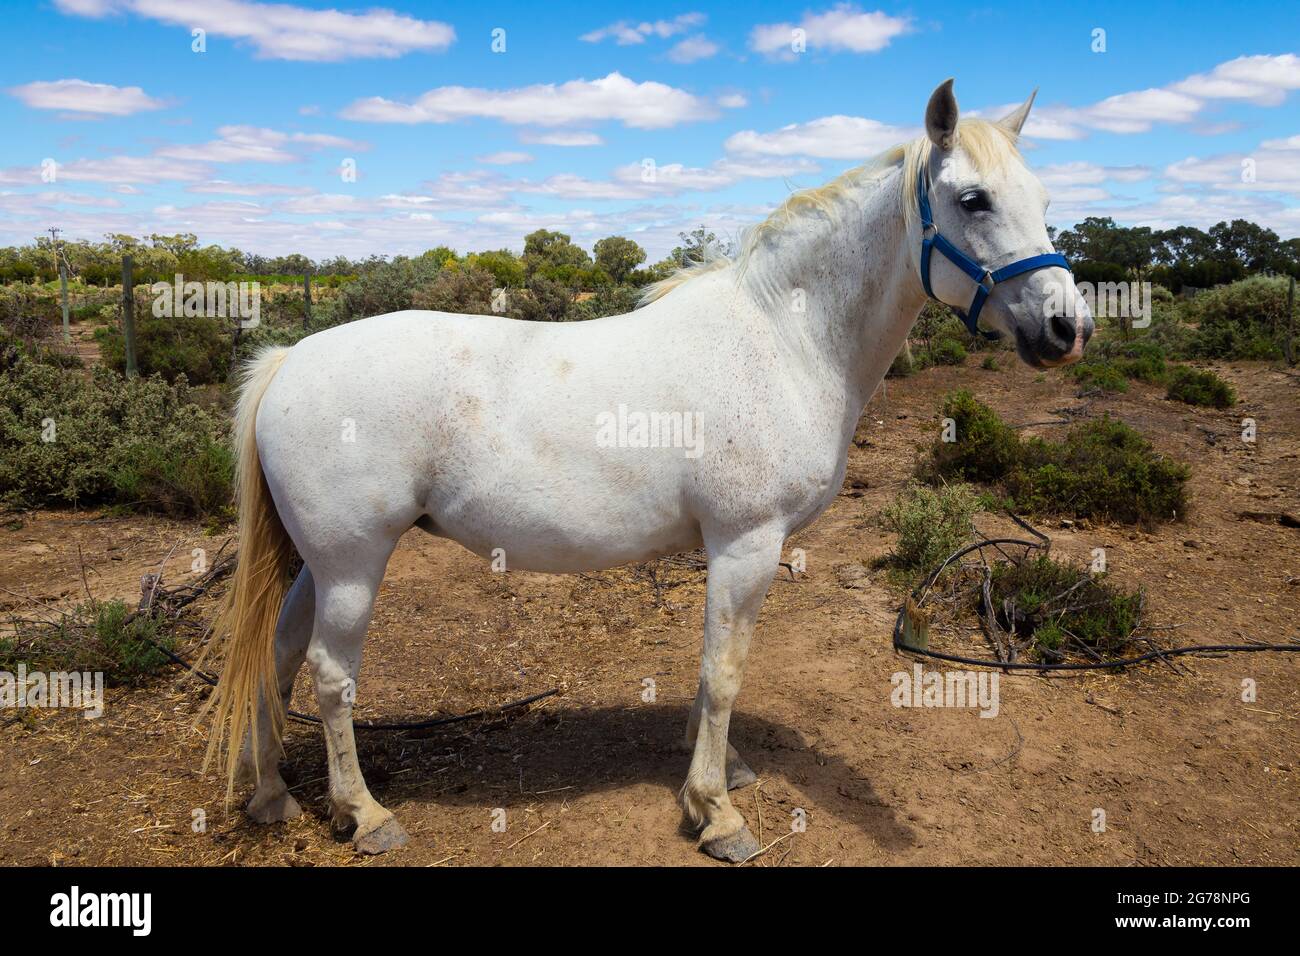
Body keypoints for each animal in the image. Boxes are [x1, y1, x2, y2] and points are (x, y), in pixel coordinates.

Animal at [208, 80, 1092, 858]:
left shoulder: (728, 548)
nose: (1066, 328)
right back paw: (364, 814)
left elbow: (710, 673)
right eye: (973, 200)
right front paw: (717, 814)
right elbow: (725, 671)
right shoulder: (747, 542)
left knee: (277, 652)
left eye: (1043, 196)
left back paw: (271, 794)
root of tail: (289, 361)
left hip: (318, 562)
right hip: (354, 563)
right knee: (329, 674)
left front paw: (720, 774)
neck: (783, 341)